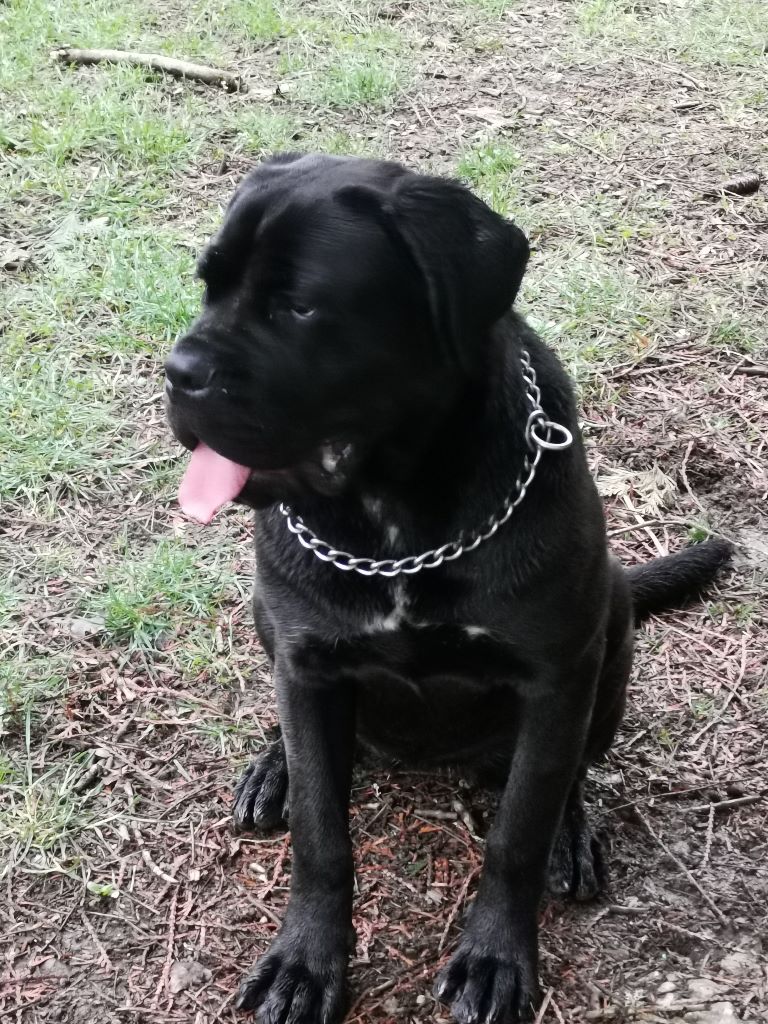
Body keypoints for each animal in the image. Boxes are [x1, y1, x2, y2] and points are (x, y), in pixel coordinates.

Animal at [163, 153, 733, 1024]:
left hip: (611, 641)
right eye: (207, 285)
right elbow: (322, 839)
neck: (397, 522)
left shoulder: (555, 678)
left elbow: (518, 832)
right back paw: (274, 768)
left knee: (568, 774)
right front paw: (305, 963)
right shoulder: (307, 662)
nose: (178, 372)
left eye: (298, 306)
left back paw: (572, 831)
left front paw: (496, 958)